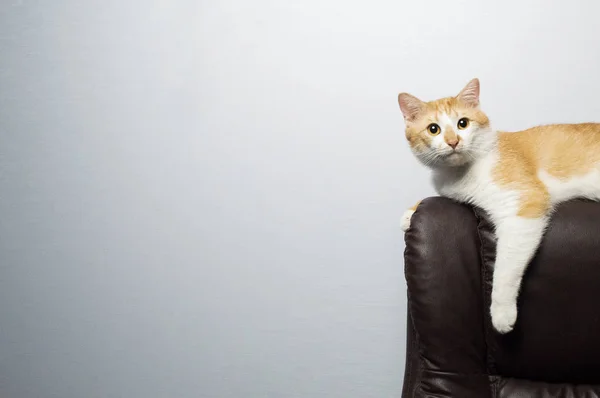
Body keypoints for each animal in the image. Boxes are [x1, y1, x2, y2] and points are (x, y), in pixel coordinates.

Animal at [398, 77, 600, 332]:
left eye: (463, 123)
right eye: (433, 129)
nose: (453, 141)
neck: (460, 173)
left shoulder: (523, 202)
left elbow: (506, 264)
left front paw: (502, 312)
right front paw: (410, 212)